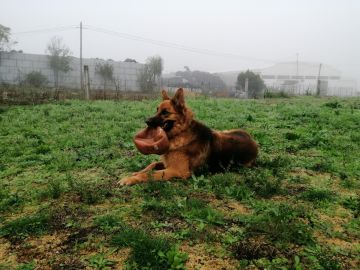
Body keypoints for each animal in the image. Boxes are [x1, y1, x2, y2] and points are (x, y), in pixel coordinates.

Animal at [119, 88, 258, 186]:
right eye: (157, 110)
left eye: (165, 112)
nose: (146, 121)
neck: (181, 132)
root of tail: (254, 143)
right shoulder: (167, 164)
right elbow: (151, 165)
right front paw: (136, 172)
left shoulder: (176, 170)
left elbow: (150, 174)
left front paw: (130, 179)